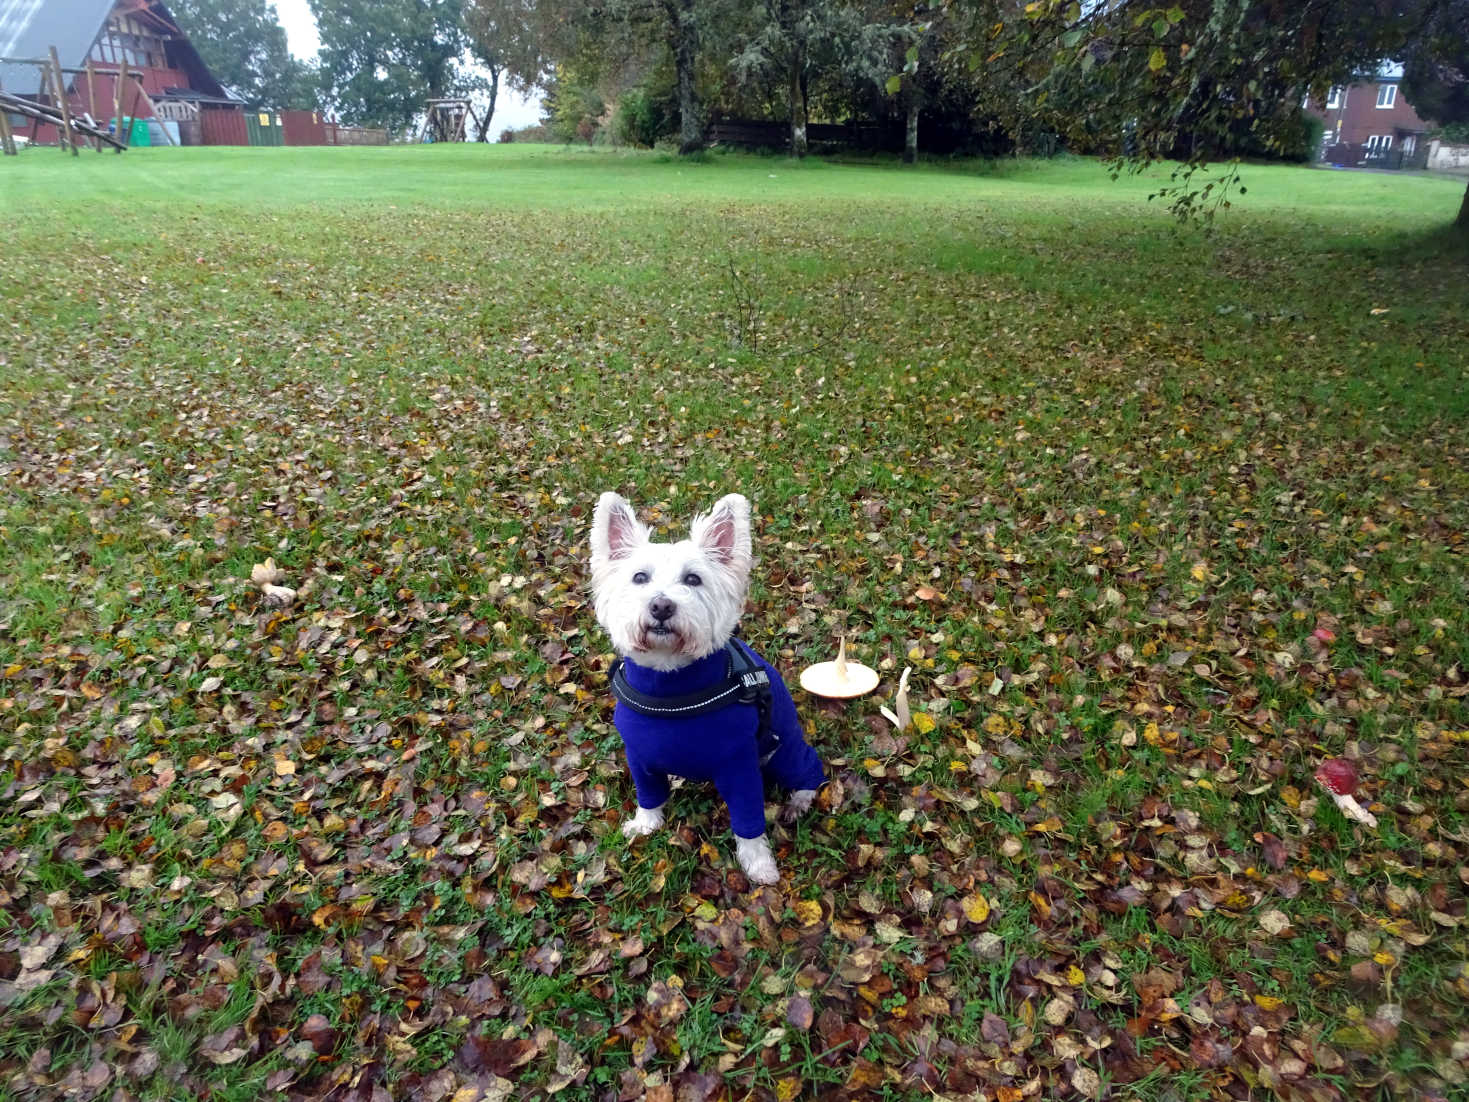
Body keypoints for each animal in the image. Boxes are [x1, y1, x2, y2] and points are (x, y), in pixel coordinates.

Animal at [587, 493, 828, 887]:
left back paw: (798, 802)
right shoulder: (639, 758)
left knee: (809, 771)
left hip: (785, 752)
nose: (661, 605)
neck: (670, 688)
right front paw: (645, 824)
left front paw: (759, 865)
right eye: (639, 577)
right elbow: (648, 796)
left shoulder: (739, 765)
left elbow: (748, 821)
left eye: (693, 578)